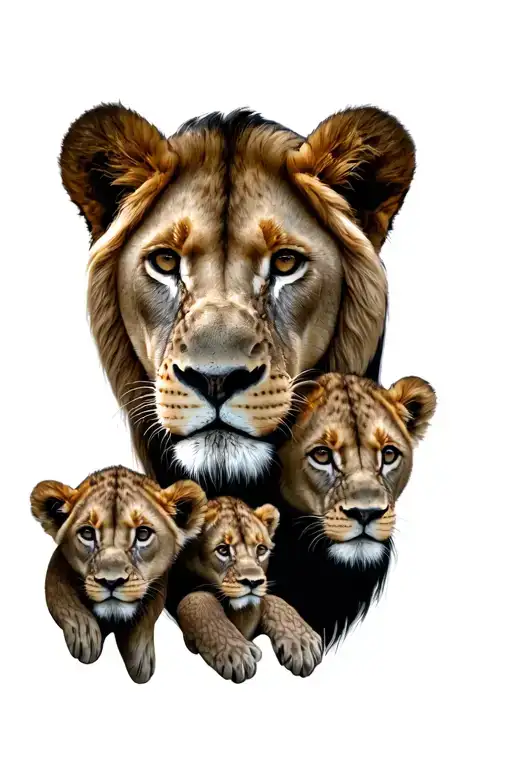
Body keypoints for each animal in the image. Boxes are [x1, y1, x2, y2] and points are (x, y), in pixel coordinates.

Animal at [30, 466, 207, 683]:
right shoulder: (57, 566)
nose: (111, 582)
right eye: (87, 533)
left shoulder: (159, 585)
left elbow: (147, 617)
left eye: (143, 534)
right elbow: (61, 599)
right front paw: (85, 636)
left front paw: (141, 660)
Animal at [167, 497, 323, 683]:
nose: (253, 582)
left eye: (261, 549)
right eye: (223, 549)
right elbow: (197, 598)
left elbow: (274, 599)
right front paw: (236, 653)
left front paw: (303, 642)